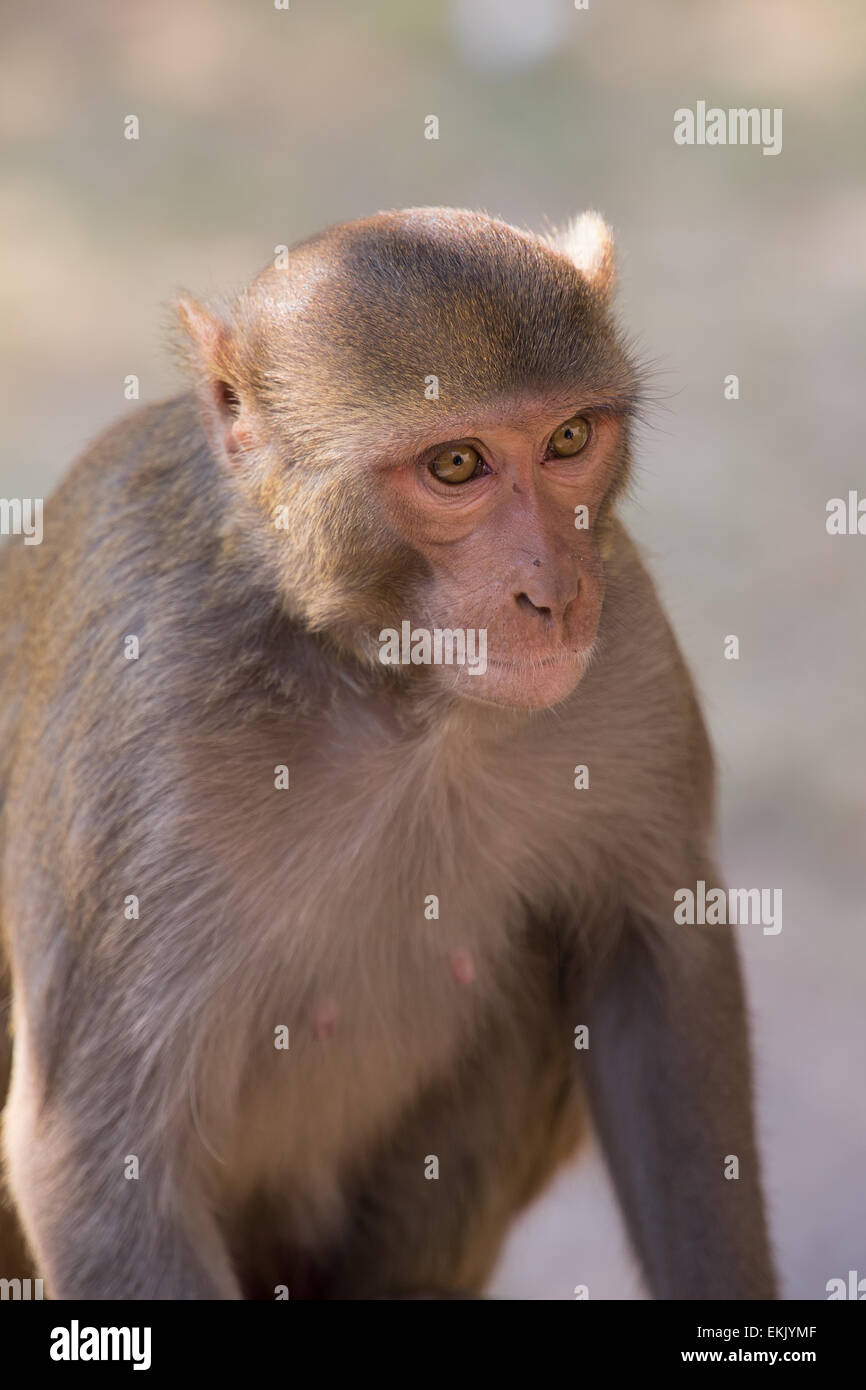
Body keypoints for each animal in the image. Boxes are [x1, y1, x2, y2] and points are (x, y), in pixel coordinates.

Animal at [0, 208, 778, 1301]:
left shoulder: (623, 641)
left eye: (568, 439)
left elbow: (655, 964)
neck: (392, 691)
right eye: (455, 465)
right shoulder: (136, 738)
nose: (552, 592)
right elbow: (94, 1159)